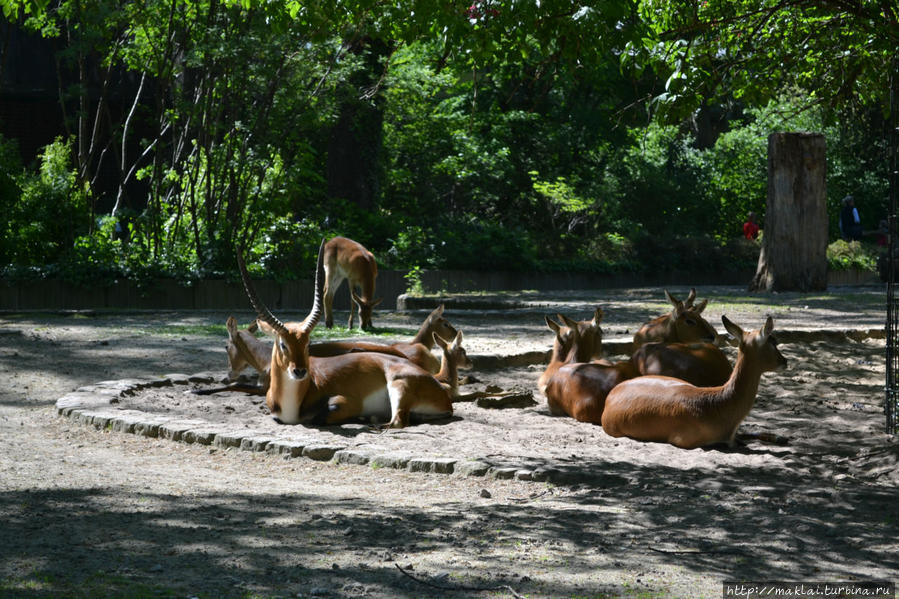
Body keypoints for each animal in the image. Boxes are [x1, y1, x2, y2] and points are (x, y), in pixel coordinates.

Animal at [239, 241, 454, 428]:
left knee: (397, 422)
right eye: (283, 344)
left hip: (398, 387)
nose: (299, 371)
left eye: (307, 343)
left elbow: (320, 417)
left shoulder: (346, 402)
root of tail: (443, 395)